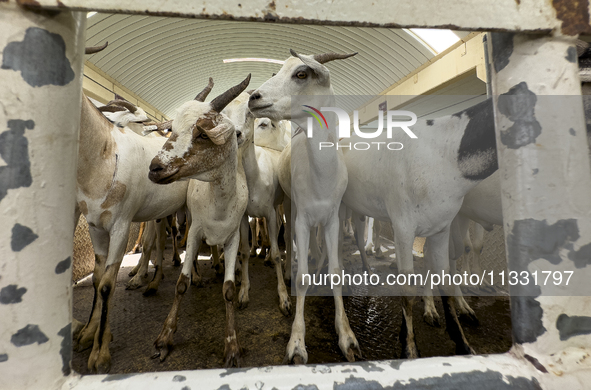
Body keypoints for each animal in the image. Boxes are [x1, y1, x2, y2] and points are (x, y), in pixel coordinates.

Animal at [150, 74, 252, 368]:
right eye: (173, 129)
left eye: (202, 133)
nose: (155, 168)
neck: (219, 204)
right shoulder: (195, 231)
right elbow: (180, 284)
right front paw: (164, 338)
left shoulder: (233, 236)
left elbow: (229, 289)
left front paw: (232, 347)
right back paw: (199, 272)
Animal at [247, 50, 358, 364]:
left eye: (301, 73)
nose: (254, 97)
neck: (321, 176)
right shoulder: (302, 219)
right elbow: (302, 277)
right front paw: (297, 342)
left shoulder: (332, 219)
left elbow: (336, 271)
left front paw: (346, 336)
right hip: (289, 204)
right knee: (288, 241)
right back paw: (286, 269)